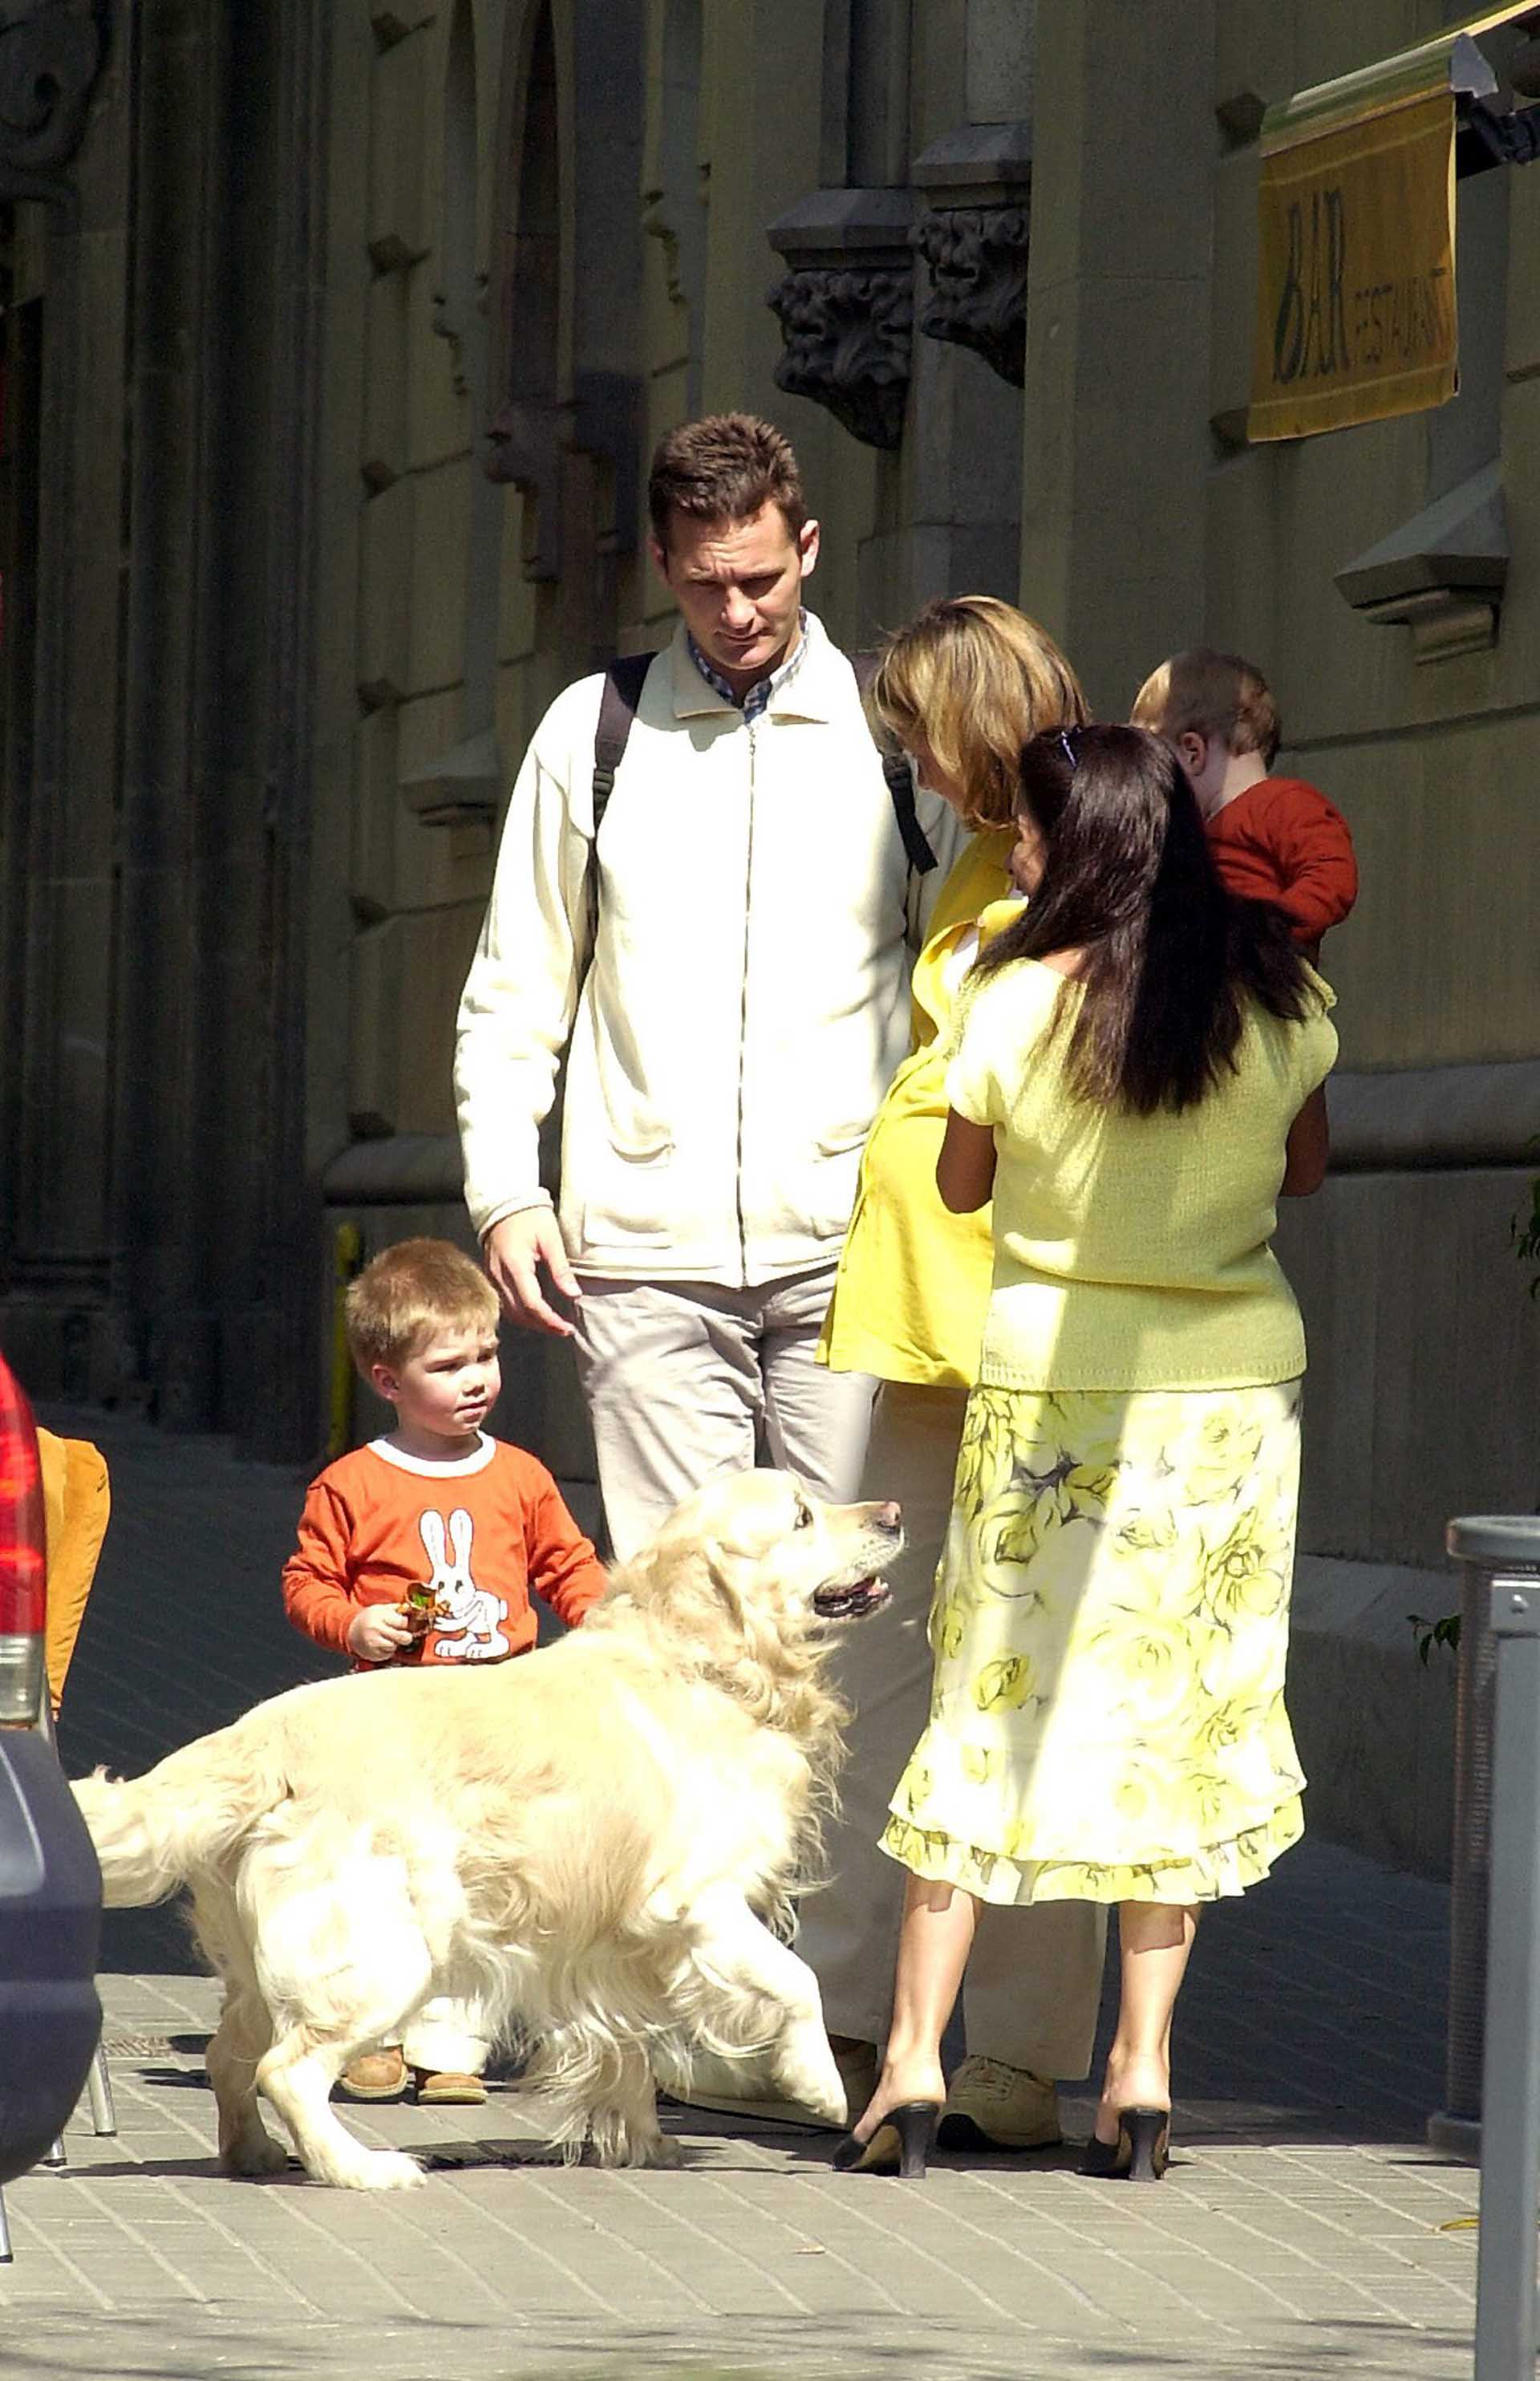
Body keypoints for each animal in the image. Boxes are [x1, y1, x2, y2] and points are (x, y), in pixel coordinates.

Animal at [75, 1466, 904, 2190]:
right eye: (802, 1517)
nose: (894, 1514)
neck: (702, 1664)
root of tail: (251, 1738)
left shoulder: (617, 1939)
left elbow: (631, 2048)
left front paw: (644, 2140)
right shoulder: (695, 1899)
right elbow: (799, 1980)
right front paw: (819, 2085)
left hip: (255, 1963)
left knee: (229, 2055)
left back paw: (253, 2154)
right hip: (388, 1956)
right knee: (288, 2069)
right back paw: (362, 2169)